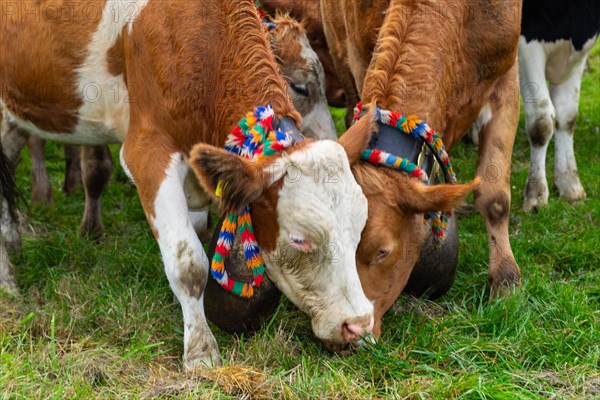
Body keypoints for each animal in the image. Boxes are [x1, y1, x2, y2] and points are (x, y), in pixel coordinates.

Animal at [1, 0, 376, 368]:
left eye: (360, 228)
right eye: (300, 239)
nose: (358, 323)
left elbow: (194, 237)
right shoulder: (148, 154)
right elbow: (188, 263)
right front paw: (201, 352)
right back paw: (8, 282)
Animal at [322, 0, 524, 338]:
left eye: (382, 251)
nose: (345, 331)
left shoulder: (507, 78)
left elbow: (495, 198)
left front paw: (506, 280)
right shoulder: (358, 54)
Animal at [516, 0, 596, 212]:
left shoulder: (582, 41)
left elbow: (567, 115)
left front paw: (569, 183)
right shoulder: (527, 39)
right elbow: (541, 121)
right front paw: (536, 194)